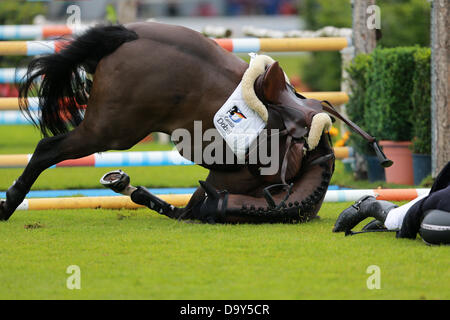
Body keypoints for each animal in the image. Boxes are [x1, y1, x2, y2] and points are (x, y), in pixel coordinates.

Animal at [0, 21, 390, 222]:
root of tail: (130, 34)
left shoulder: (220, 181)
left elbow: (185, 208)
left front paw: (127, 186)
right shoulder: (234, 178)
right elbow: (190, 208)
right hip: (111, 131)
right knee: (47, 148)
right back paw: (10, 203)